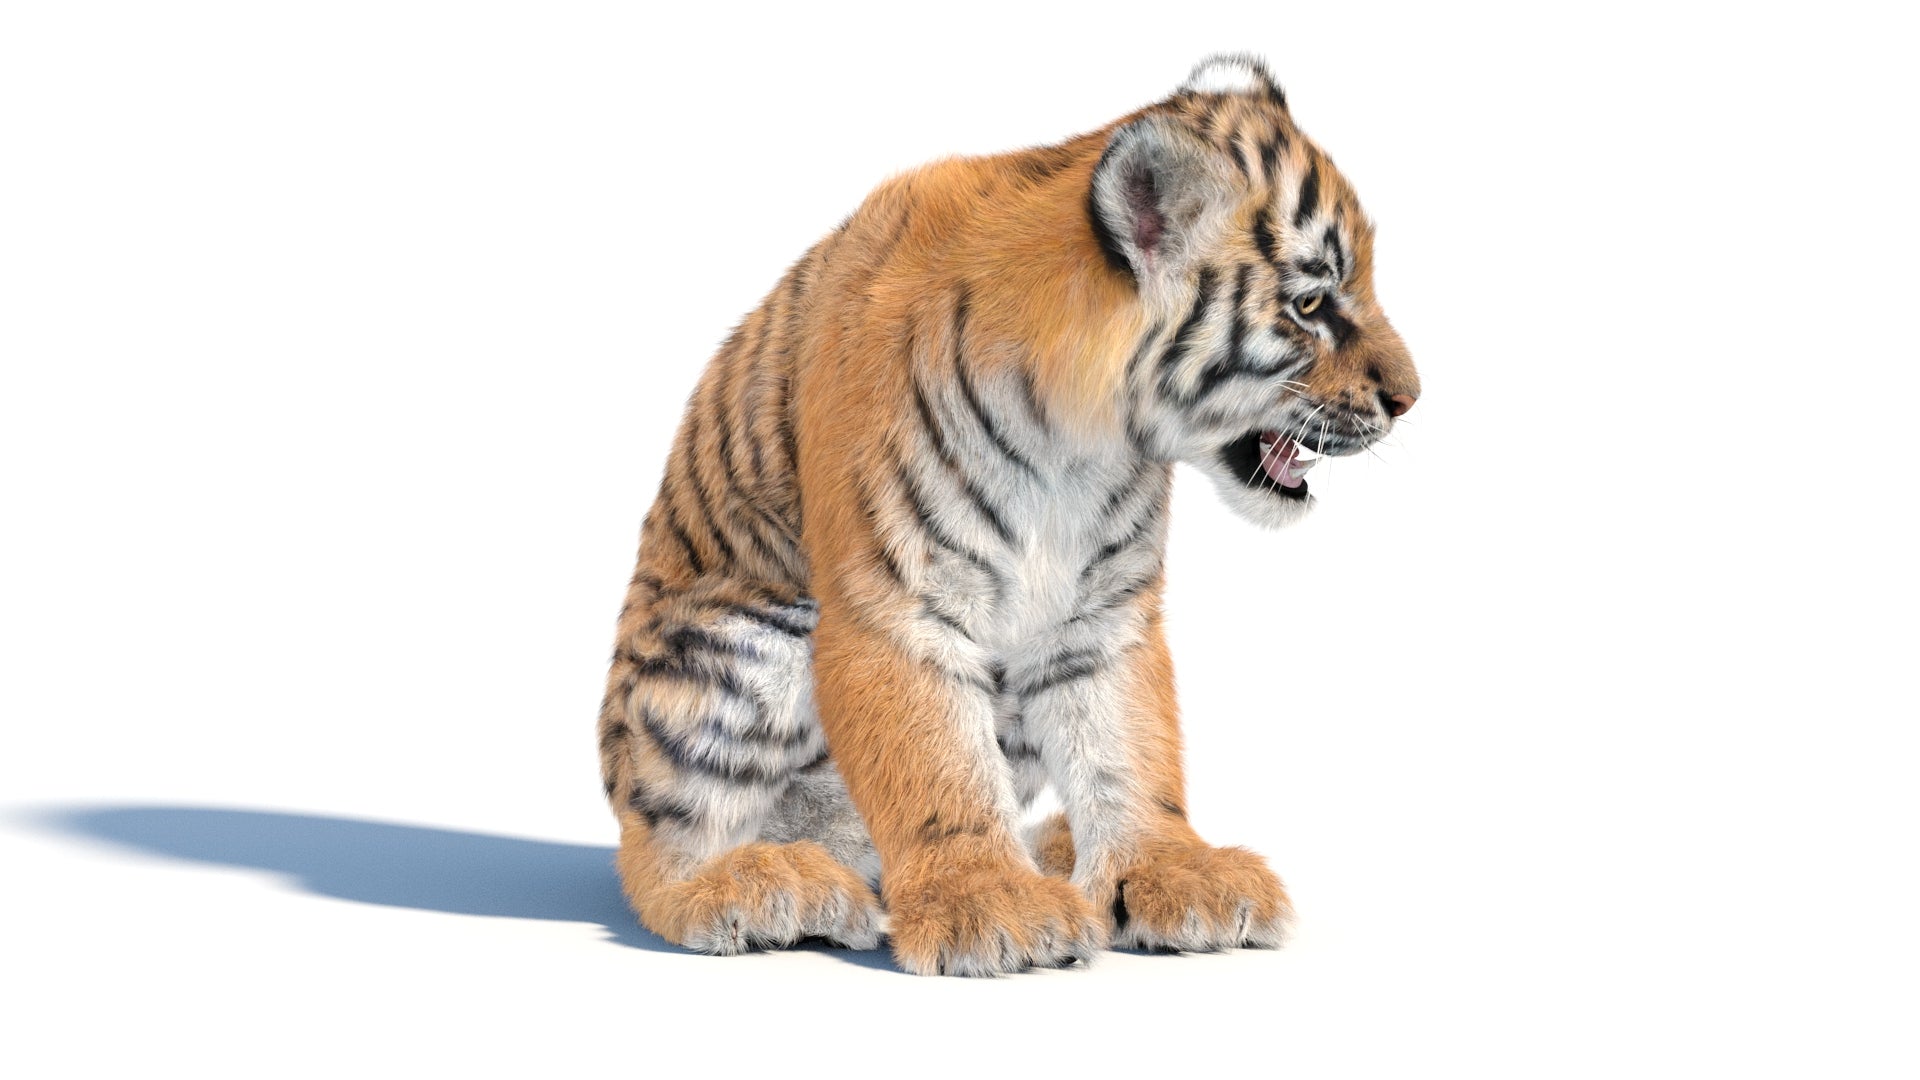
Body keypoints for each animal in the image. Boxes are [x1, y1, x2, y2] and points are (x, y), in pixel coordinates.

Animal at [597, 54, 1419, 976]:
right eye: (1311, 306)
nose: (1411, 398)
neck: (1083, 438)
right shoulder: (898, 606)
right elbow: (935, 764)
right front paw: (986, 903)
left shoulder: (1102, 614)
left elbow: (1129, 749)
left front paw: (1169, 871)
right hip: (742, 648)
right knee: (656, 854)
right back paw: (763, 885)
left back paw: (1048, 854)